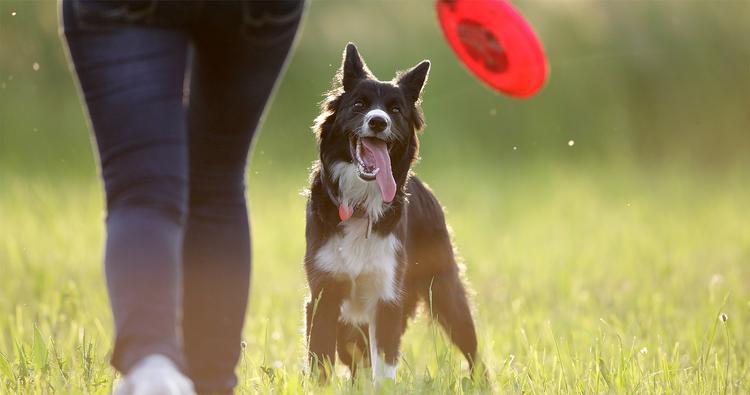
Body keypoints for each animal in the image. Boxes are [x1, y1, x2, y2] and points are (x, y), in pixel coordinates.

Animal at [302, 43, 478, 384]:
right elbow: (321, 363)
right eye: (359, 104)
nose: (378, 122)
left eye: (396, 111)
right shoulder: (323, 295)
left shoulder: (387, 297)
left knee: (472, 350)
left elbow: (383, 369)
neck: (359, 204)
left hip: (446, 291)